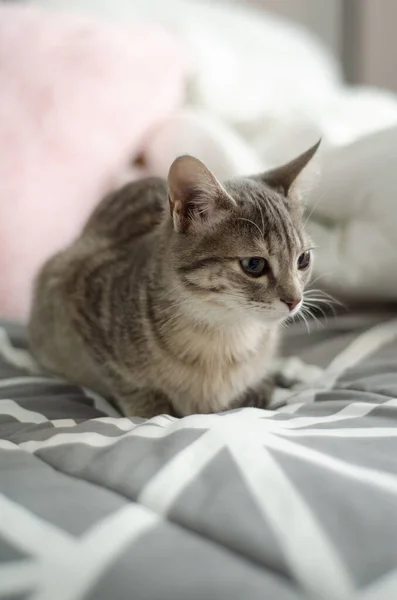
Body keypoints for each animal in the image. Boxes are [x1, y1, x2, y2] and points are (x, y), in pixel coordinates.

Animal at [28, 143, 318, 420]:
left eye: (303, 259)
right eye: (254, 265)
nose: (295, 300)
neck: (224, 336)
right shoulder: (75, 292)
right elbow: (134, 388)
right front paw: (153, 411)